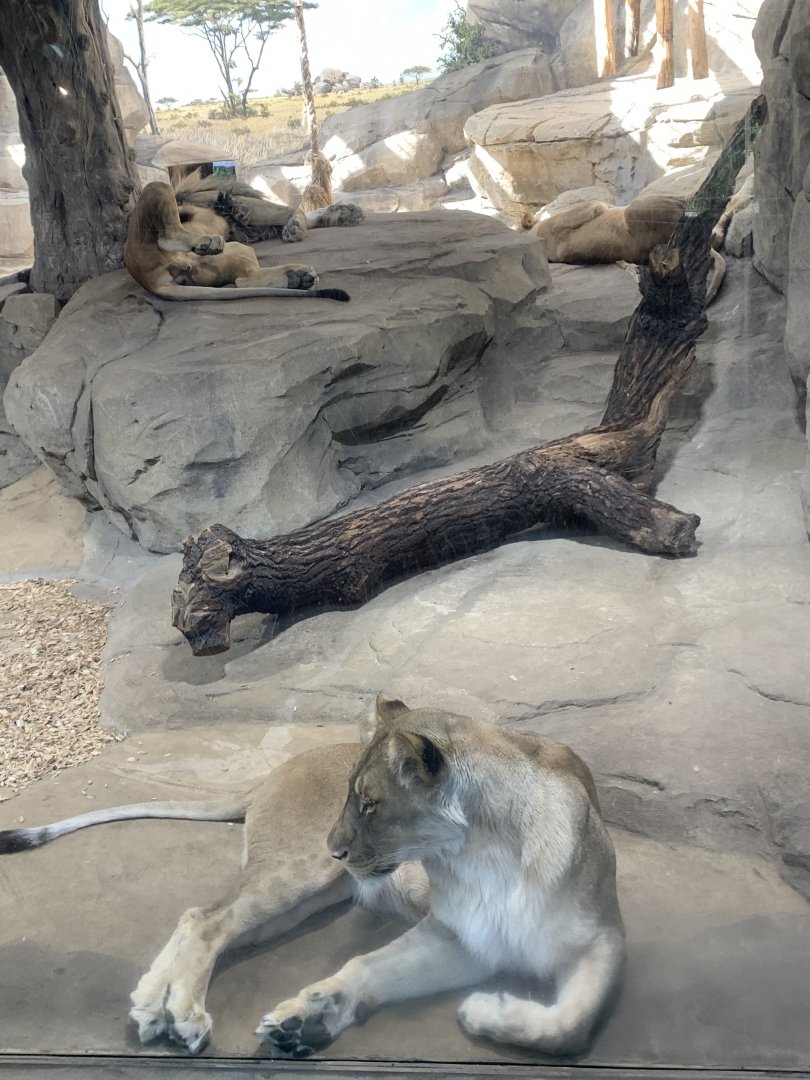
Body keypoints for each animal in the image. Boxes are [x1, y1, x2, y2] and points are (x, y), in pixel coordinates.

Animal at [0, 696, 624, 1058]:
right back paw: (185, 1015)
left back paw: (155, 1006)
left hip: (309, 894)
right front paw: (309, 1015)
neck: (484, 852)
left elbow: (573, 1024)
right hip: (298, 874)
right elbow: (365, 965)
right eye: (352, 796)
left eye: (369, 803)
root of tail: (274, 769)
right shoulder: (456, 933)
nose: (336, 844)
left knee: (202, 918)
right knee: (208, 922)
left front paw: (310, 1021)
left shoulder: (597, 938)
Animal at [124, 177, 364, 302]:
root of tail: (150, 282)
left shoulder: (239, 215)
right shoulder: (239, 205)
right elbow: (292, 211)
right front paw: (297, 226)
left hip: (228, 253)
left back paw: (297, 278)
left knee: (245, 279)